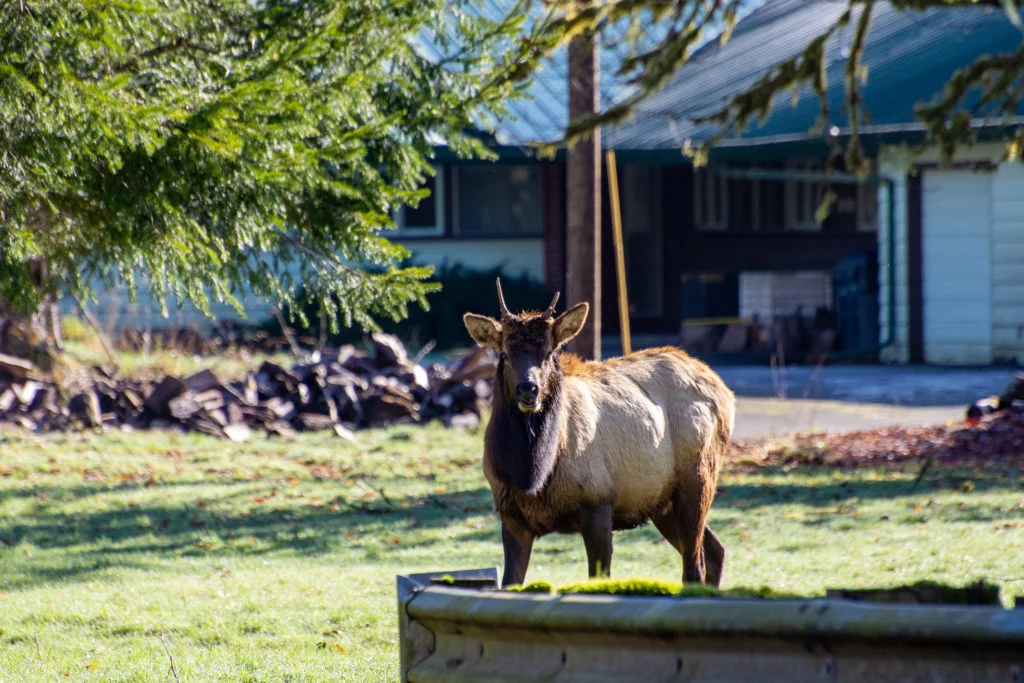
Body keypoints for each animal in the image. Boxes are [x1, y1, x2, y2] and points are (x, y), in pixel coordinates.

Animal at [464, 282, 737, 589]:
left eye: (549, 352)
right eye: (504, 354)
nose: (528, 389)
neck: (532, 475)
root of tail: (724, 390)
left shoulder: (598, 503)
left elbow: (599, 579)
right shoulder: (511, 516)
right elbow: (510, 583)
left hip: (698, 479)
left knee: (695, 566)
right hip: (662, 502)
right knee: (715, 551)